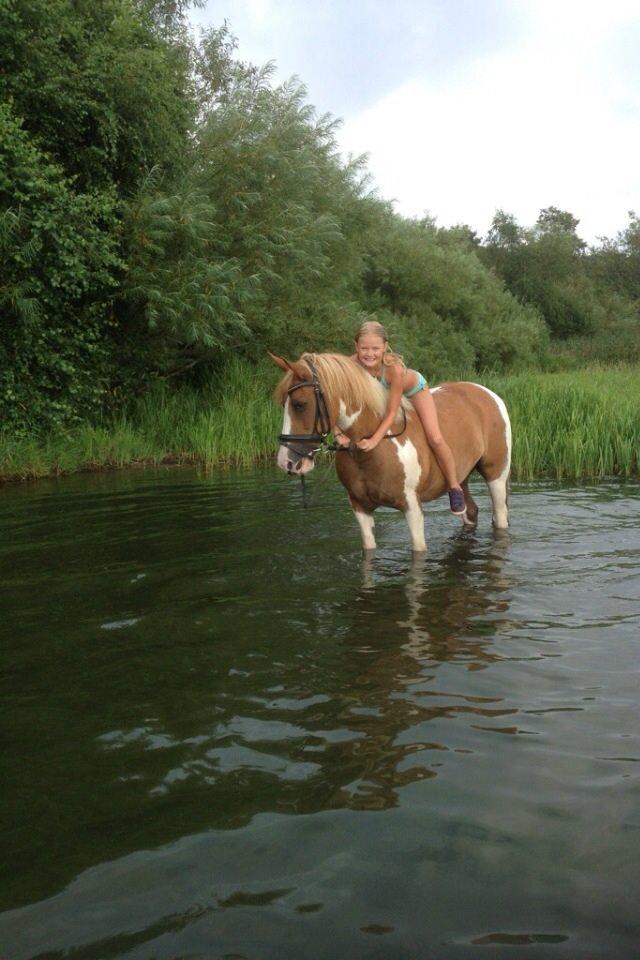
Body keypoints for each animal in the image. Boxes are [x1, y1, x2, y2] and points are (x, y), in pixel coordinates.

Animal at [272, 352, 512, 552]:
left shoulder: (412, 508)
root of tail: (487, 394)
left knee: (500, 515)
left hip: (496, 476)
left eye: (300, 404)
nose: (286, 462)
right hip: (461, 476)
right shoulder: (360, 508)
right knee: (470, 511)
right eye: (283, 403)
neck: (372, 447)